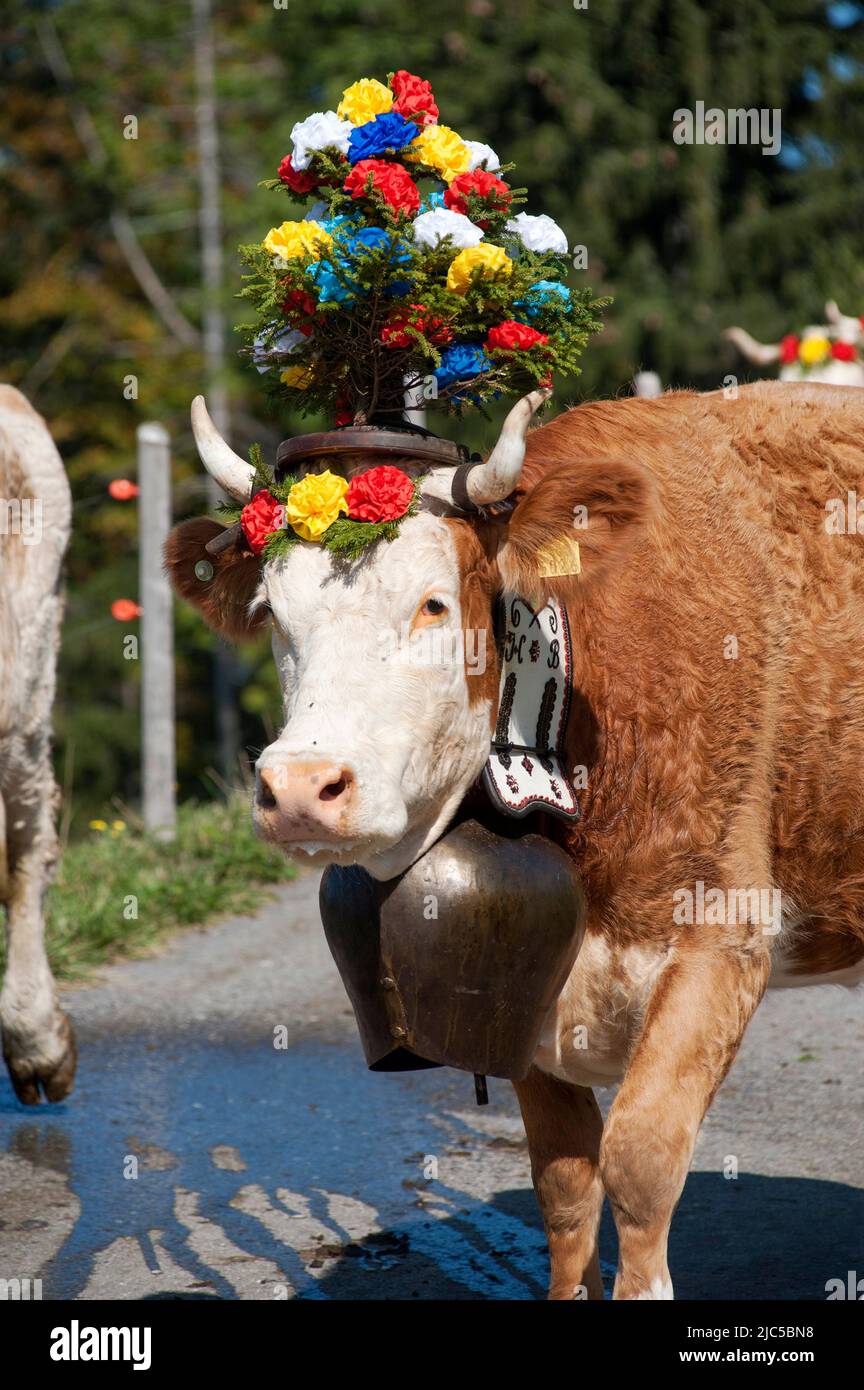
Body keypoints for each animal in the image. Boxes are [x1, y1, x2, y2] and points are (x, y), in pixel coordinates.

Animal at [167, 383, 864, 1301]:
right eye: (274, 616)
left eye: (433, 603)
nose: (301, 787)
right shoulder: (524, 973)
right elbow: (566, 1186)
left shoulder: (725, 934)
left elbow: (639, 1159)